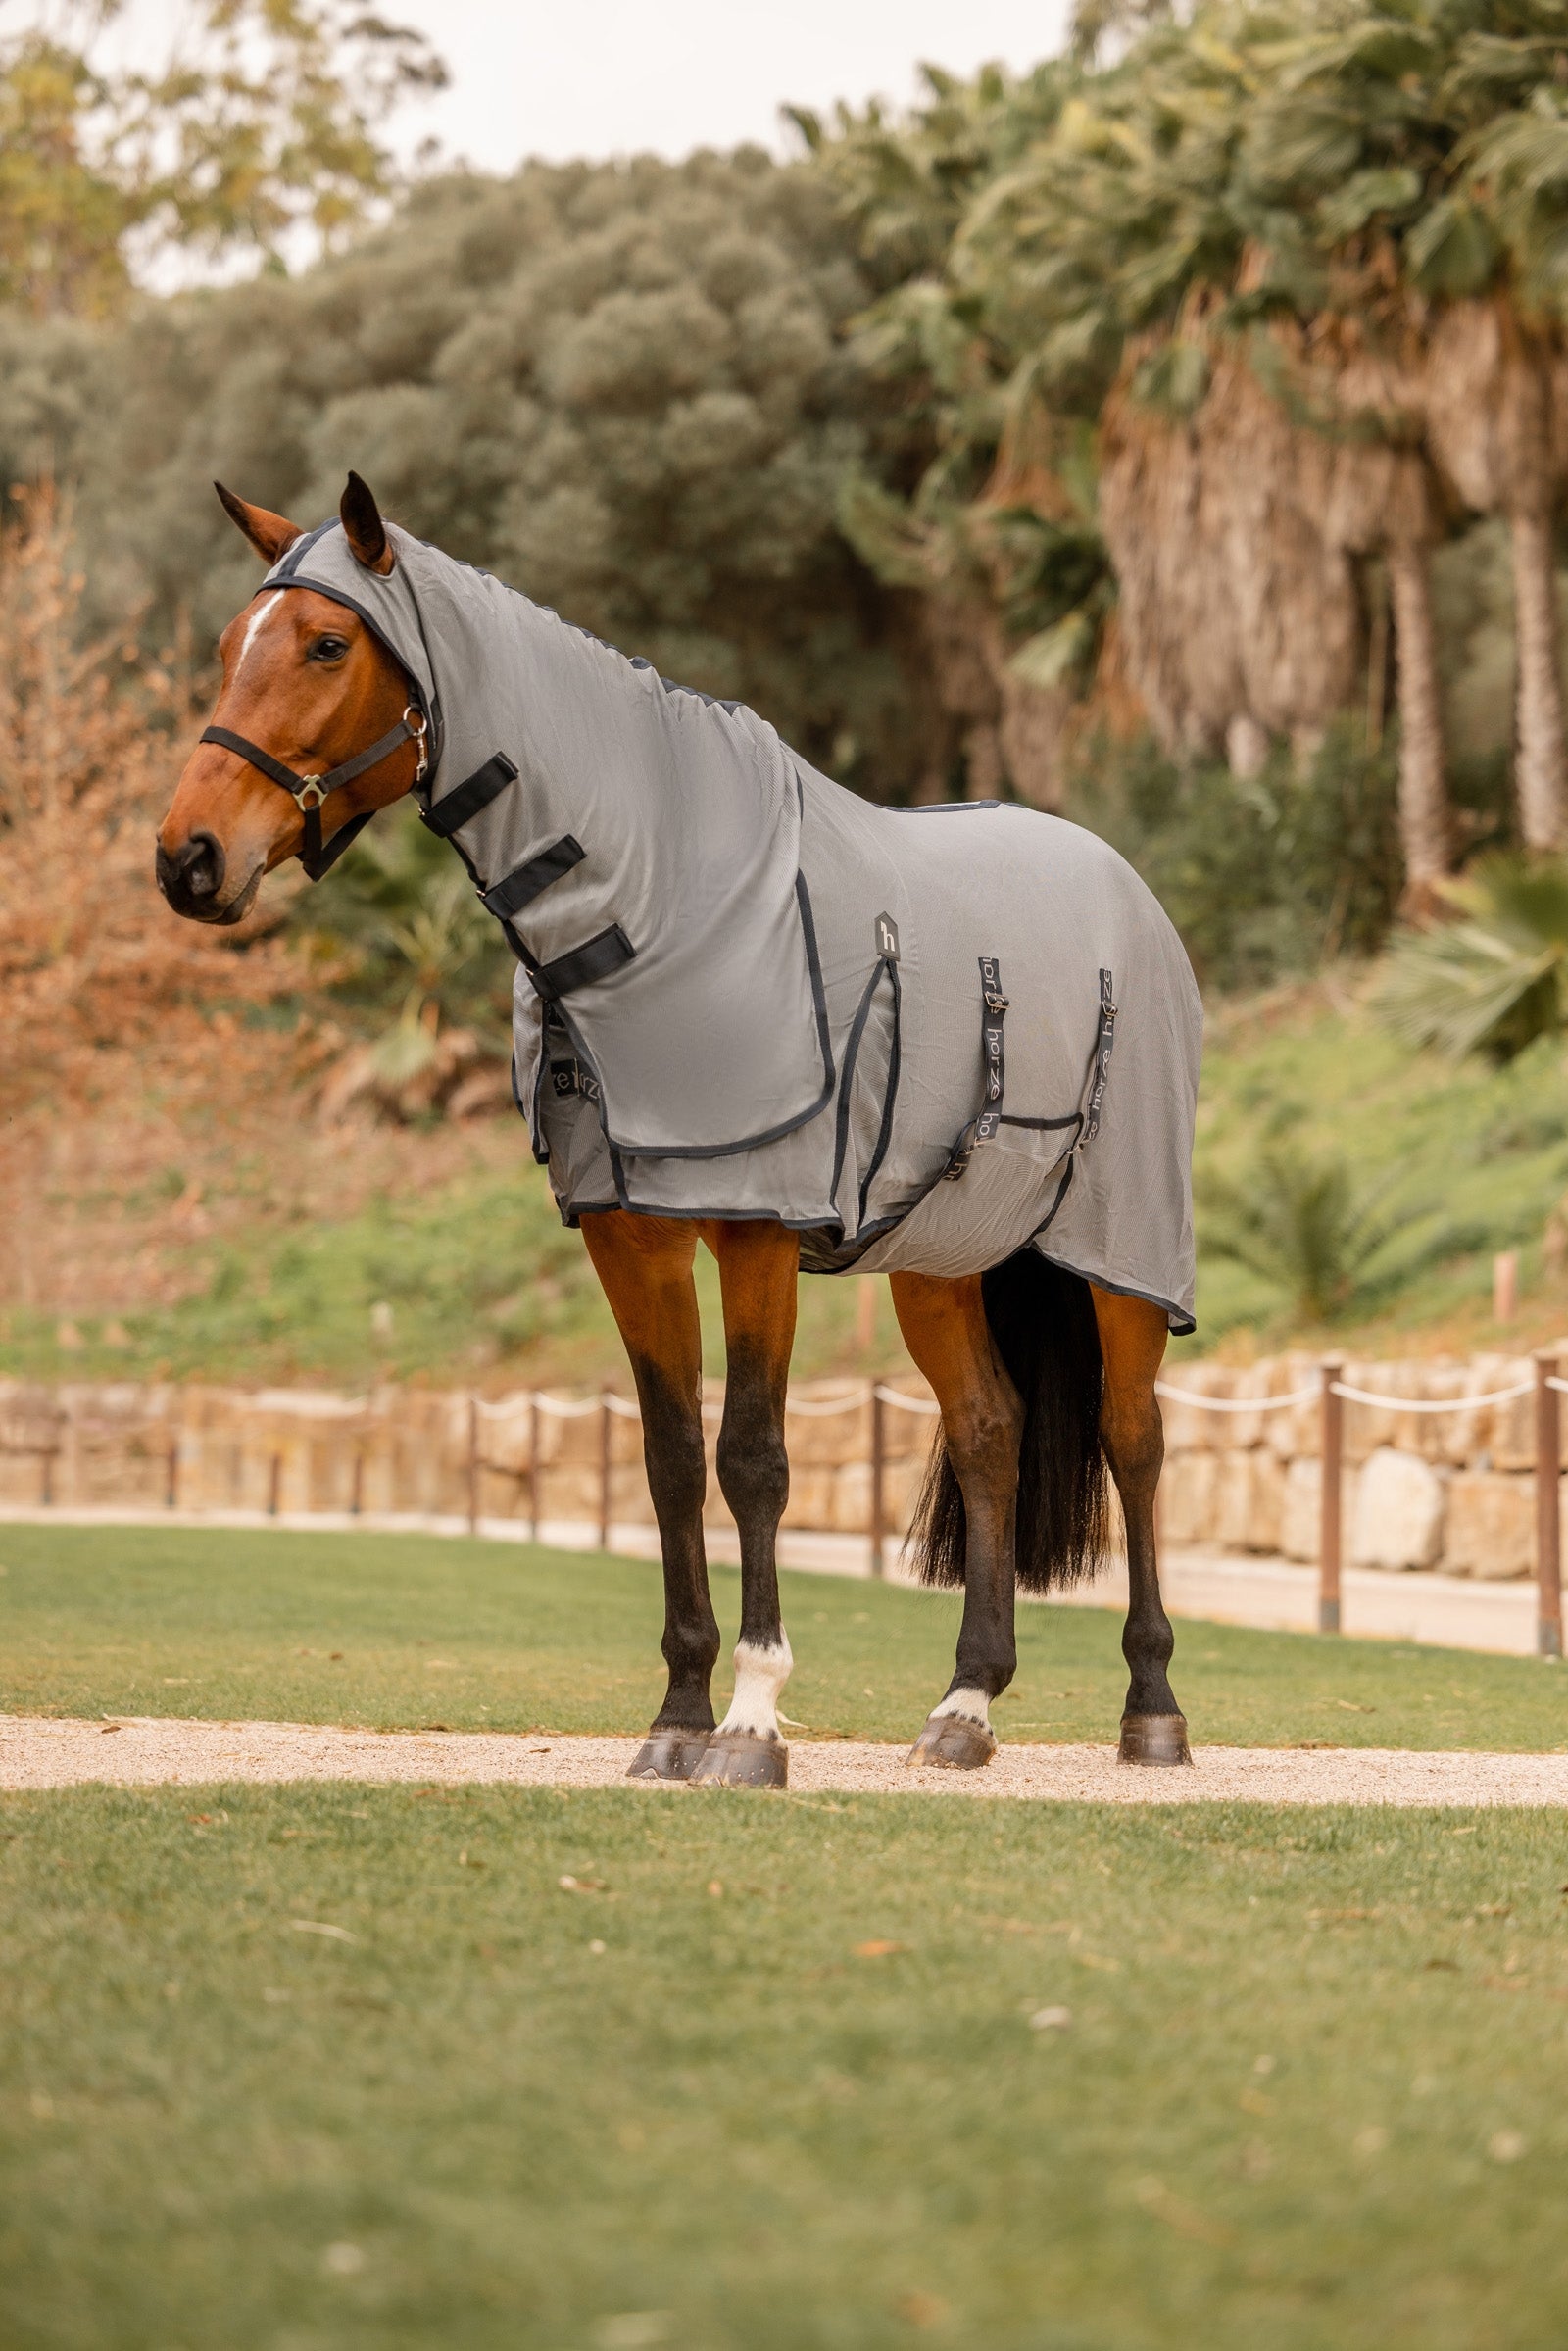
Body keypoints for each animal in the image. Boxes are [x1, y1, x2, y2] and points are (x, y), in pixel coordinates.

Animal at [156, 472, 1201, 1788]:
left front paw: (751, 1725)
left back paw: (1152, 1708)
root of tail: (1129, 886)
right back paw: (964, 1705)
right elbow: (665, 1462)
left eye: (327, 645)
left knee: (1133, 1437)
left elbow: (752, 1456)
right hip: (942, 1258)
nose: (187, 858)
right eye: (225, 647)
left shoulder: (755, 1231)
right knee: (988, 1431)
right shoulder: (631, 1238)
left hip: (1122, 1253)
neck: (660, 908)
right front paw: (677, 1716)